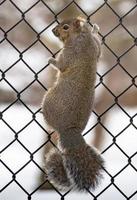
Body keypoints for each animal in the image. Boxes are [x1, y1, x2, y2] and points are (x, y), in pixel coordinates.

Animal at [41, 17, 104, 191]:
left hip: (48, 100)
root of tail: (69, 130)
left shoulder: (70, 54)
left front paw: (51, 59)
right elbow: (99, 48)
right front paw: (95, 29)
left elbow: (61, 65)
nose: (53, 30)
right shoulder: (95, 48)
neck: (82, 37)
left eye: (65, 27)